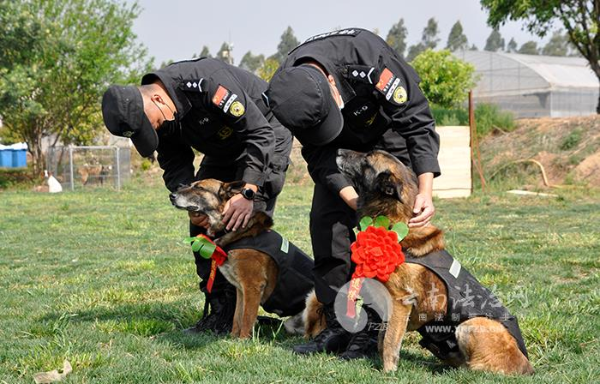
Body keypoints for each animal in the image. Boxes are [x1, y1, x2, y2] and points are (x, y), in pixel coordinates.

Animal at [168, 178, 312, 338]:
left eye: (199, 188)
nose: (171, 196)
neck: (233, 231)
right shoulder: (241, 290)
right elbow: (238, 317)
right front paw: (232, 338)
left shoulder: (253, 286)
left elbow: (247, 318)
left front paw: (243, 340)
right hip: (290, 324)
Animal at [304, 149, 536, 376]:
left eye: (368, 158)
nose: (338, 150)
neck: (393, 221)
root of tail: (526, 367)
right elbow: (382, 338)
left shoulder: (400, 302)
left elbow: (390, 340)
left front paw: (388, 372)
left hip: (470, 324)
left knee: (474, 368)